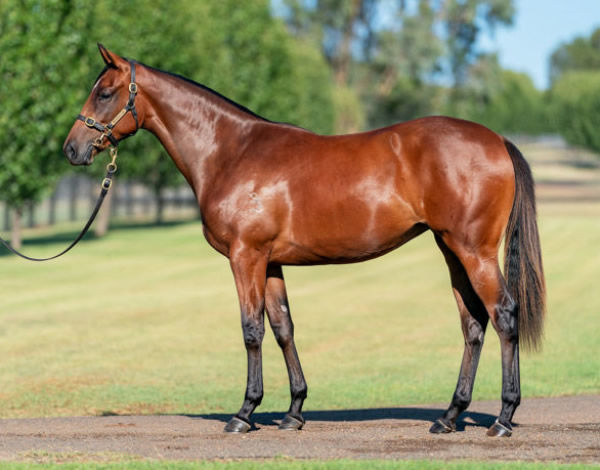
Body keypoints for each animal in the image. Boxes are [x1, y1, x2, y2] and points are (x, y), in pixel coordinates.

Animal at [63, 45, 548, 436]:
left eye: (104, 93)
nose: (72, 148)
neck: (231, 151)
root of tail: (497, 140)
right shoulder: (271, 262)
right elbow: (283, 328)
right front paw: (293, 411)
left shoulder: (245, 257)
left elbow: (252, 330)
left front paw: (244, 413)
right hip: (452, 250)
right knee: (473, 324)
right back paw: (449, 417)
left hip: (473, 251)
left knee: (503, 315)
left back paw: (504, 418)